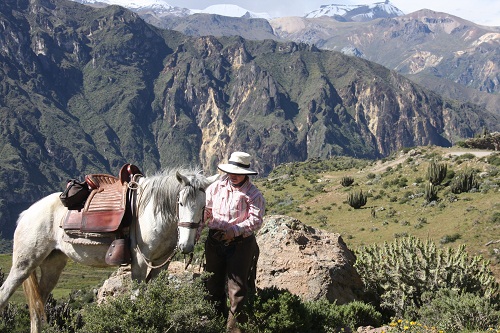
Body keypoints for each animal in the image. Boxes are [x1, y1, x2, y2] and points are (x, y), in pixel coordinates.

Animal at [0, 167, 219, 330]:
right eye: (180, 202)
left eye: (203, 207)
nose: (186, 245)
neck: (152, 213)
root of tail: (27, 213)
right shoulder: (140, 262)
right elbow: (137, 299)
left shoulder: (160, 265)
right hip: (24, 264)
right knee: (5, 294)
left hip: (52, 266)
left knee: (37, 310)